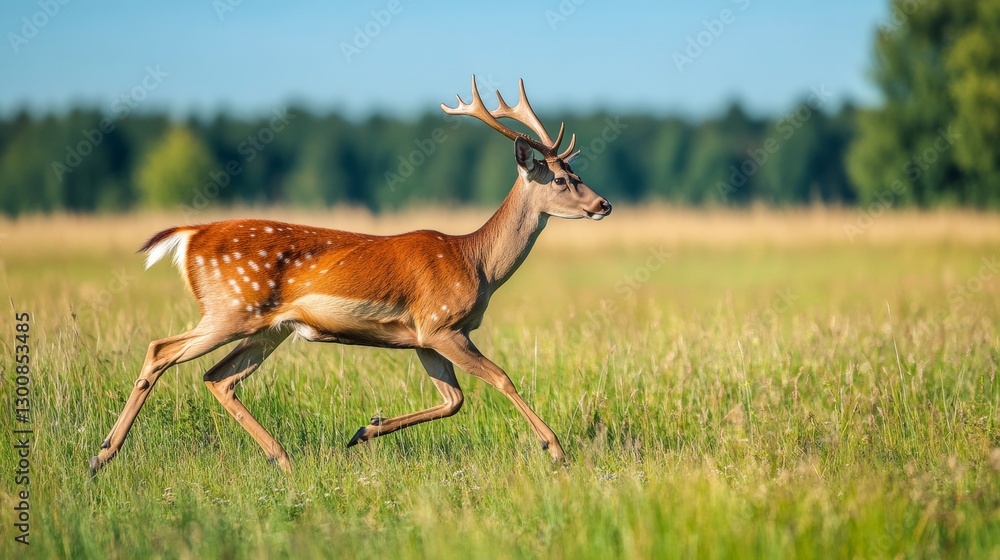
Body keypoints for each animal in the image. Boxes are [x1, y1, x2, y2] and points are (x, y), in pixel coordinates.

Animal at [89, 75, 612, 475]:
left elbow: (453, 400)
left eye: (578, 172)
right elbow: (501, 379)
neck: (476, 264)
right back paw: (102, 456)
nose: (603, 204)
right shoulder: (442, 325)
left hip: (268, 328)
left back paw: (283, 459)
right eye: (561, 179)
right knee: (161, 351)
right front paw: (556, 449)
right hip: (230, 308)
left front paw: (364, 430)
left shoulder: (423, 338)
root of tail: (190, 234)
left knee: (219, 378)